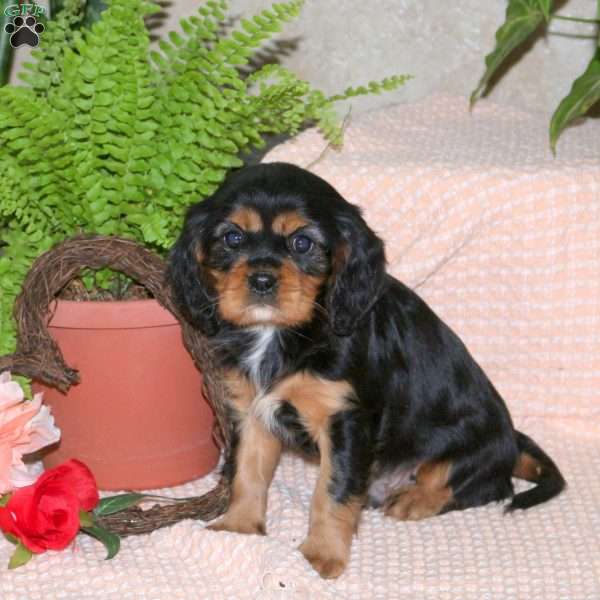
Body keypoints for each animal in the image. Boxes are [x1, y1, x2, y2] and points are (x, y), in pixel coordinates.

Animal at [166, 162, 564, 580]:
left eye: (302, 243)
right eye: (232, 238)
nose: (261, 279)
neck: (281, 333)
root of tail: (511, 440)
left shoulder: (346, 420)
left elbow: (333, 489)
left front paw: (321, 555)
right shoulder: (251, 409)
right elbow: (247, 471)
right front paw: (239, 529)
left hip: (470, 445)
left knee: (485, 485)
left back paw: (415, 499)